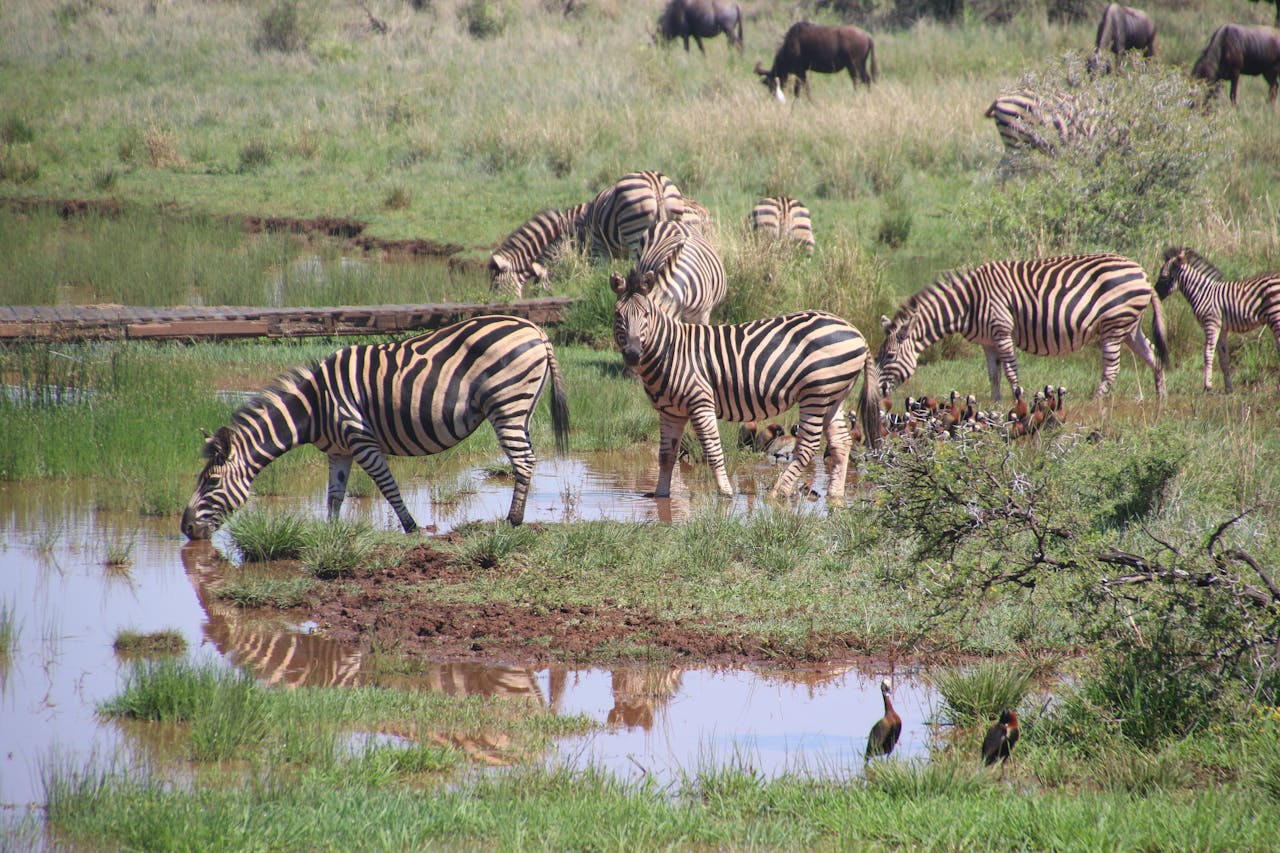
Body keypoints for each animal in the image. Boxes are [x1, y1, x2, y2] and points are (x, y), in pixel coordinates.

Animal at [180, 315, 570, 538]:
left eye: (211, 481)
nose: (185, 528)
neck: (315, 407)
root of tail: (534, 328)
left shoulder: (360, 439)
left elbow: (387, 486)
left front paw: (411, 528)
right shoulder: (338, 451)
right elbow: (334, 494)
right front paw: (331, 533)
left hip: (507, 402)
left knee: (523, 461)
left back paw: (512, 521)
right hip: (522, 407)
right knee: (526, 458)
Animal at [611, 272, 880, 502]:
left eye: (646, 315)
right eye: (618, 316)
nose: (633, 354)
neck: (670, 351)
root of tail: (857, 332)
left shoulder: (700, 402)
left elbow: (712, 450)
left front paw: (725, 492)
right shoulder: (670, 411)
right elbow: (665, 456)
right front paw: (660, 495)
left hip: (816, 393)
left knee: (808, 446)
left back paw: (778, 493)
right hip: (834, 395)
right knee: (841, 443)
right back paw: (835, 495)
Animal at [876, 253, 1168, 401]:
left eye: (888, 356)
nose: (877, 393)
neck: (968, 302)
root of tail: (1143, 273)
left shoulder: (1002, 331)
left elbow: (1011, 371)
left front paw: (1017, 400)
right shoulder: (987, 342)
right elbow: (993, 375)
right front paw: (995, 404)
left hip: (1114, 324)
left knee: (1112, 368)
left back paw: (1095, 402)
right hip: (1129, 327)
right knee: (1153, 355)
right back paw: (1160, 399)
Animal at [1155, 247, 1280, 392]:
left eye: (1164, 276)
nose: (1154, 294)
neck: (1202, 292)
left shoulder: (1211, 324)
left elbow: (1208, 354)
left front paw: (1207, 386)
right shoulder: (1222, 328)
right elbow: (1223, 358)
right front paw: (1228, 389)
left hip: (1275, 315)